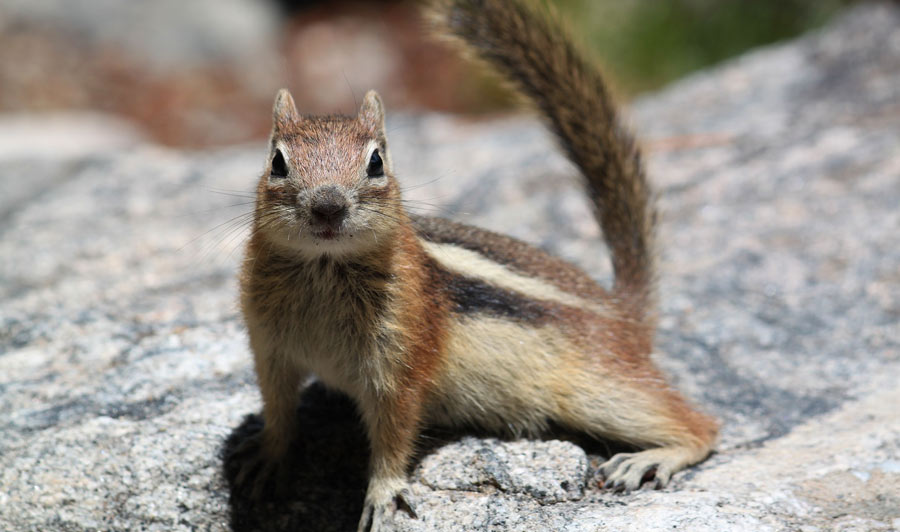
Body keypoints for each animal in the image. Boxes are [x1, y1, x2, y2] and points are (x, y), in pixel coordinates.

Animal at [236, 1, 720, 528]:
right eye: (278, 162)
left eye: (376, 163)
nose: (328, 205)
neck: (323, 269)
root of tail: (625, 314)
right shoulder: (269, 347)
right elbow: (278, 407)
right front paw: (266, 457)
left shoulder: (402, 360)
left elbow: (394, 433)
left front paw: (383, 494)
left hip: (599, 389)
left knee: (702, 424)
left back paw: (652, 458)